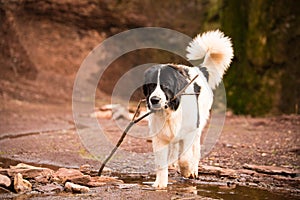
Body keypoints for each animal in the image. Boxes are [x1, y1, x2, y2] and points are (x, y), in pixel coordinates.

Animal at [142, 29, 233, 188]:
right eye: (151, 85)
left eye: (166, 85)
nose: (154, 100)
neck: (170, 111)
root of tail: (199, 70)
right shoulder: (159, 136)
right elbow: (161, 162)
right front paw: (160, 183)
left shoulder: (190, 131)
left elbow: (185, 157)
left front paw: (187, 171)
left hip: (198, 125)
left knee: (195, 149)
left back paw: (193, 169)